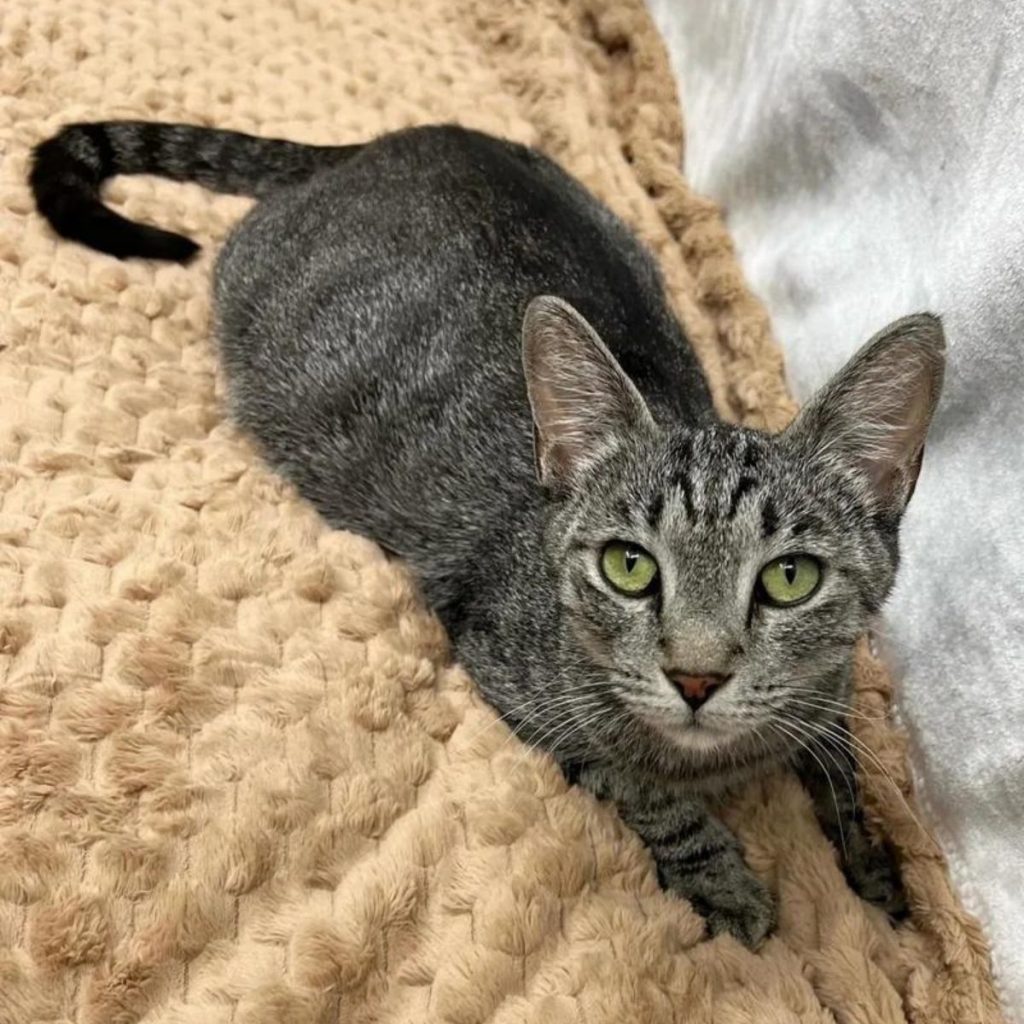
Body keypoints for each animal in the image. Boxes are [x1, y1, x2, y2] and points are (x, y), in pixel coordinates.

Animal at [32, 119, 942, 942]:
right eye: (629, 567)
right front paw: (719, 876)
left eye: (790, 578)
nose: (695, 677)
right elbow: (642, 787)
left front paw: (875, 867)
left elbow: (846, 772)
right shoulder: (506, 674)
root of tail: (379, 145)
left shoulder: (828, 691)